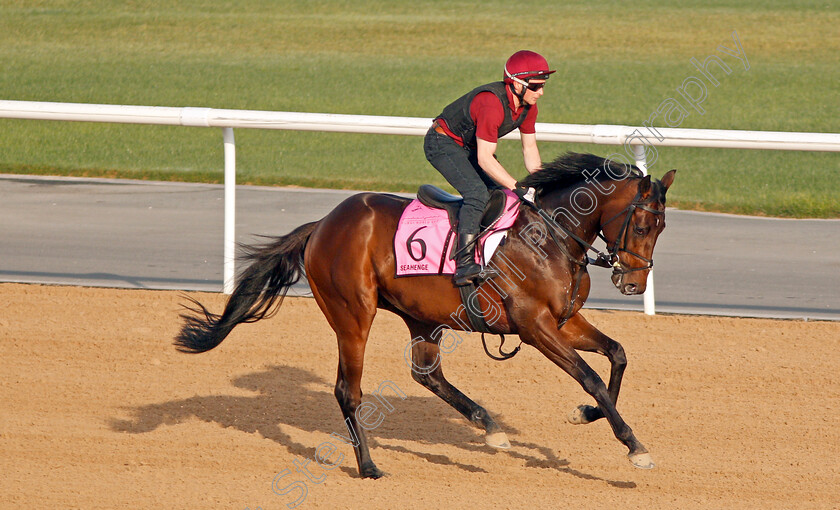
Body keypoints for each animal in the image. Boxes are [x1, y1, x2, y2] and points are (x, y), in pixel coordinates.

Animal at [176, 151, 676, 478]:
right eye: (643, 224)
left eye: (662, 226)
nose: (634, 284)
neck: (551, 237)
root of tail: (321, 225)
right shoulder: (535, 326)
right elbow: (591, 377)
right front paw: (635, 446)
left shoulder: (564, 320)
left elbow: (617, 355)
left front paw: (587, 415)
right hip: (352, 314)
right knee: (347, 391)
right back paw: (370, 466)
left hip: (421, 316)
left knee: (426, 374)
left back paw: (488, 426)